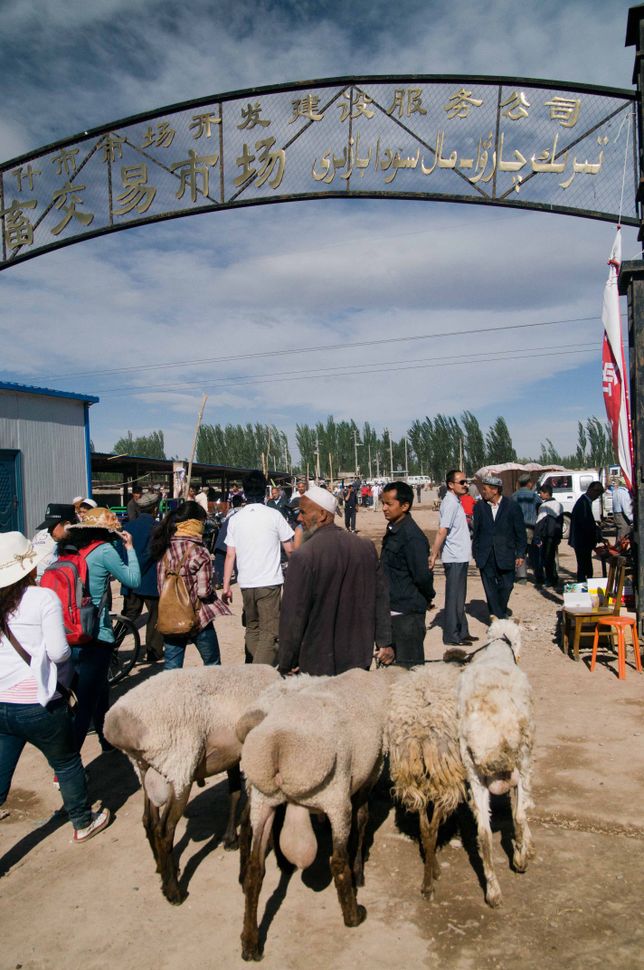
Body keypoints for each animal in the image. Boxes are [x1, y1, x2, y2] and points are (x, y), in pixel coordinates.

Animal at [103, 660, 280, 904]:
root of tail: (116, 723)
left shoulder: (232, 754)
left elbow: (234, 792)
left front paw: (230, 839)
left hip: (145, 768)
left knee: (148, 820)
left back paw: (161, 869)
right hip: (180, 766)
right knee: (164, 829)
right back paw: (173, 892)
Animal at [234, 664, 394, 960]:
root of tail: (278, 746)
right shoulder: (370, 773)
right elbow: (363, 820)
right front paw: (359, 873)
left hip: (264, 800)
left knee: (255, 867)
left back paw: (250, 942)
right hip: (335, 796)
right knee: (338, 862)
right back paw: (353, 914)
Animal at [460, 616, 536, 904]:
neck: (498, 648)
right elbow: (519, 810)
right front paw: (526, 847)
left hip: (474, 772)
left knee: (483, 835)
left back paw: (493, 892)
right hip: (521, 760)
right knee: (519, 816)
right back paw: (521, 860)